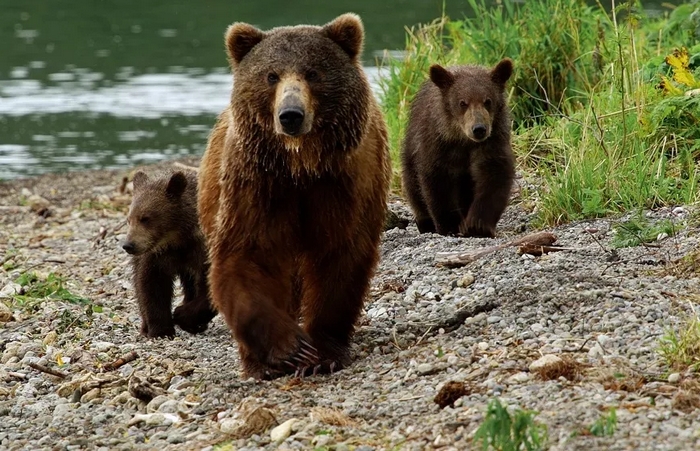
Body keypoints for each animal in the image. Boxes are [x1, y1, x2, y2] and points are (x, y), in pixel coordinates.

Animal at [122, 169, 217, 338]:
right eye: (129, 219)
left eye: (145, 218)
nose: (128, 245)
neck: (177, 238)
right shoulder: (156, 257)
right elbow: (152, 286)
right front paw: (161, 329)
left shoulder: (201, 249)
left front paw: (184, 316)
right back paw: (145, 327)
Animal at [197, 13, 391, 379]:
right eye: (271, 75)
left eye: (312, 72)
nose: (290, 115)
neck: (301, 165)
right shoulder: (258, 184)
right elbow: (248, 255)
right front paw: (289, 348)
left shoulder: (344, 184)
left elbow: (339, 256)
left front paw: (323, 352)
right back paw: (256, 361)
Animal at [400, 58, 515, 238]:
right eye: (463, 102)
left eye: (488, 101)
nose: (479, 129)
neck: (463, 140)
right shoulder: (438, 144)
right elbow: (437, 181)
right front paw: (450, 225)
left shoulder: (492, 142)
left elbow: (494, 175)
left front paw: (477, 225)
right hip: (411, 146)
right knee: (412, 183)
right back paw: (424, 221)